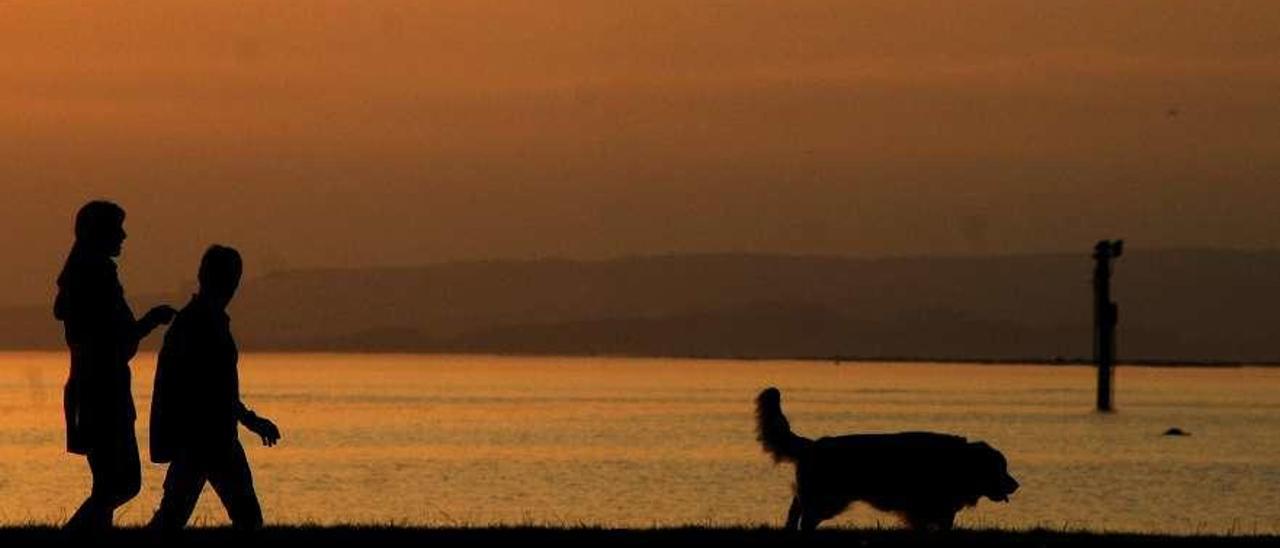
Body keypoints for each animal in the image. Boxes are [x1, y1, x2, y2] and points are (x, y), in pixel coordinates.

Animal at [752, 386, 1013, 527]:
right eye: (1001, 468)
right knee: (805, 519)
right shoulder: (923, 507)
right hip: (827, 499)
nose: (1016, 485)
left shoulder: (939, 508)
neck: (961, 461)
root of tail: (814, 443)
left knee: (795, 511)